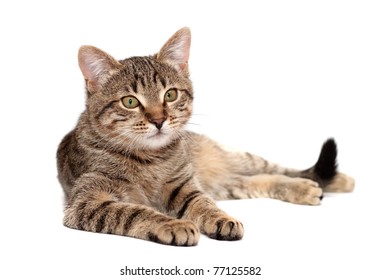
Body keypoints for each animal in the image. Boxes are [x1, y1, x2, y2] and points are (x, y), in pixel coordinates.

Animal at [56, 26, 354, 245]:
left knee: (279, 169)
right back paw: (311, 187)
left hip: (238, 159)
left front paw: (220, 218)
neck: (150, 158)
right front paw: (173, 224)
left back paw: (335, 181)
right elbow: (133, 211)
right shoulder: (87, 202)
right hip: (227, 183)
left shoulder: (184, 186)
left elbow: (203, 204)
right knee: (255, 180)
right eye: (130, 102)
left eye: (170, 95)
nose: (158, 120)